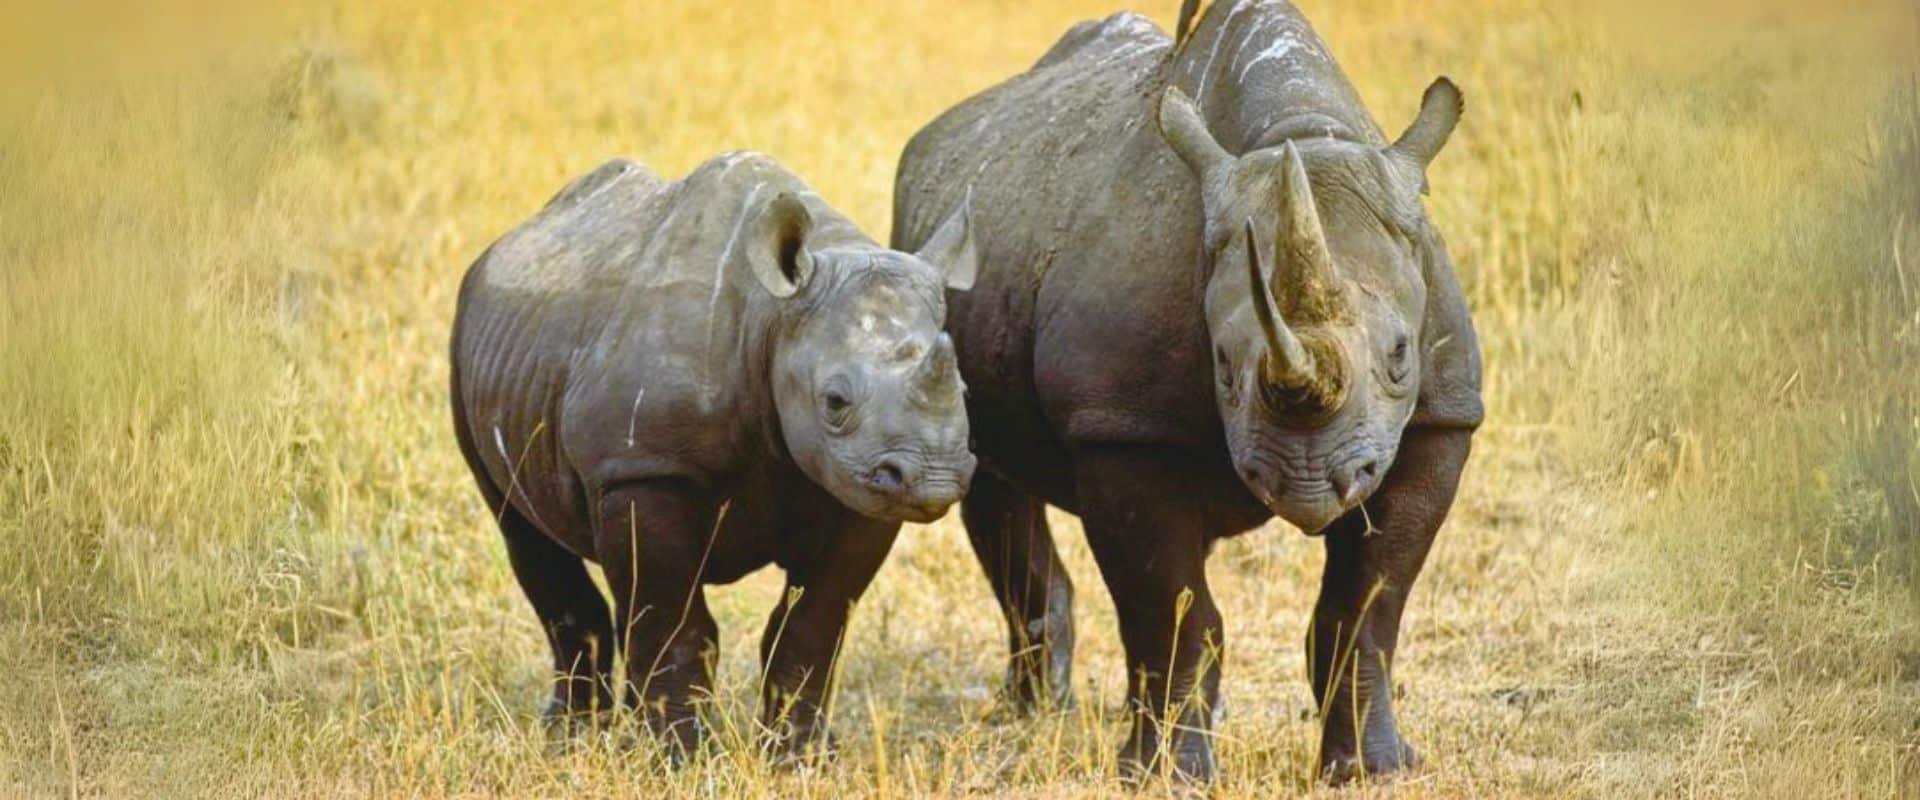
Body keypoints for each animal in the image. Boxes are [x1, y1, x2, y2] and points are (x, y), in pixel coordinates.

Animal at [451, 152, 979, 756]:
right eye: (835, 401)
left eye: (964, 392)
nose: (933, 480)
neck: (773, 319)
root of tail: (510, 240)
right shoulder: (642, 468)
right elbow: (674, 618)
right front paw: (679, 754)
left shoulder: (861, 490)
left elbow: (813, 623)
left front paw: (800, 756)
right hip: (466, 343)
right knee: (520, 527)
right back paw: (572, 735)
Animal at [891, 0, 1481, 783]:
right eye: (1223, 362)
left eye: (1399, 357)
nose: (1307, 482)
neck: (1299, 135)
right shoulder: (1122, 429)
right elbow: (1173, 607)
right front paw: (1164, 776)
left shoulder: (1442, 418)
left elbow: (1367, 608)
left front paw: (1373, 770)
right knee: (989, 473)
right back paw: (1030, 712)